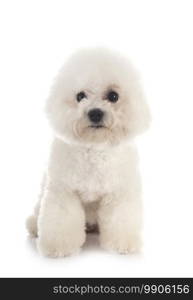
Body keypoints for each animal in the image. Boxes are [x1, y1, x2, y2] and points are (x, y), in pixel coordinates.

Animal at [26, 48, 150, 256]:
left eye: (113, 96)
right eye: (80, 96)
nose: (95, 113)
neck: (94, 148)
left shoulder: (120, 193)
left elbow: (121, 219)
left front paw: (123, 244)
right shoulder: (64, 191)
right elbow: (61, 219)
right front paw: (59, 247)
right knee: (37, 213)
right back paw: (34, 226)